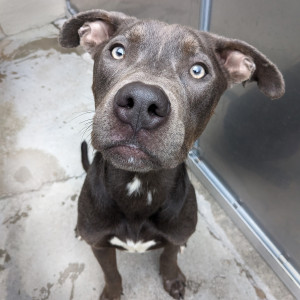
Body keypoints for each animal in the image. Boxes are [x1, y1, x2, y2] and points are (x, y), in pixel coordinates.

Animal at [58, 9, 284, 300]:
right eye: (118, 52)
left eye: (198, 70)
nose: (141, 103)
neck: (139, 185)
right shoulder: (99, 245)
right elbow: (111, 273)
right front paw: (112, 293)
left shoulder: (175, 236)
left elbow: (169, 256)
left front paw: (172, 278)